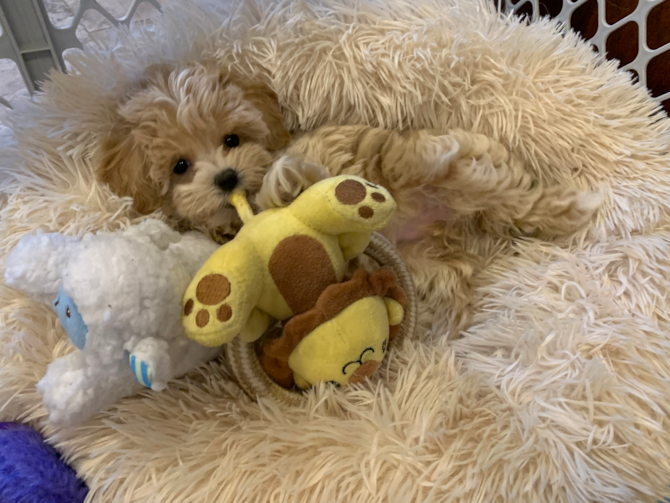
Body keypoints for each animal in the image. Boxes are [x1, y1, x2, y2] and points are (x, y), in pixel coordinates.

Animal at [97, 63, 600, 338]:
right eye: (179, 166)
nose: (226, 177)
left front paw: (283, 183)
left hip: (417, 164)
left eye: (232, 139)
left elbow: (302, 176)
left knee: (466, 178)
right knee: (458, 271)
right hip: (423, 259)